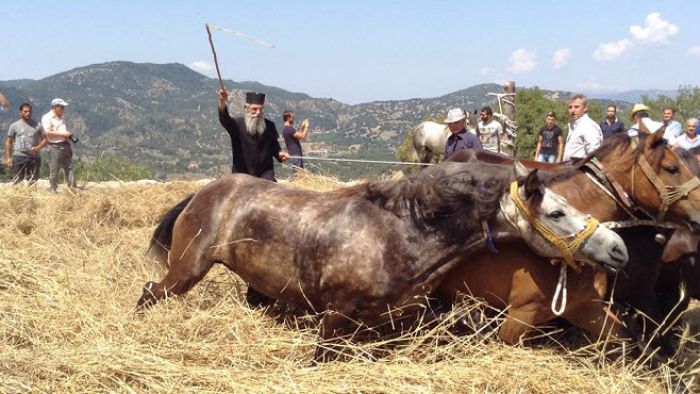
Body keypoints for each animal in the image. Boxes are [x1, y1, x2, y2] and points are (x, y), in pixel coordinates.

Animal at [139, 161, 628, 360]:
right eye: (556, 213)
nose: (618, 249)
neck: (399, 234)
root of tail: (204, 192)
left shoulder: (398, 319)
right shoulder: (335, 316)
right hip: (185, 271)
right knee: (149, 293)